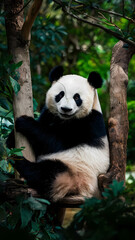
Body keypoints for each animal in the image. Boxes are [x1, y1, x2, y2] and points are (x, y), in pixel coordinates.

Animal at [7, 65, 109, 202]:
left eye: (77, 97)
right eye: (60, 94)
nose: (66, 109)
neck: (64, 119)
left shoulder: (90, 122)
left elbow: (55, 142)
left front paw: (25, 123)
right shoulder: (49, 115)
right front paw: (11, 138)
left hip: (77, 173)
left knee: (49, 173)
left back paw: (19, 161)